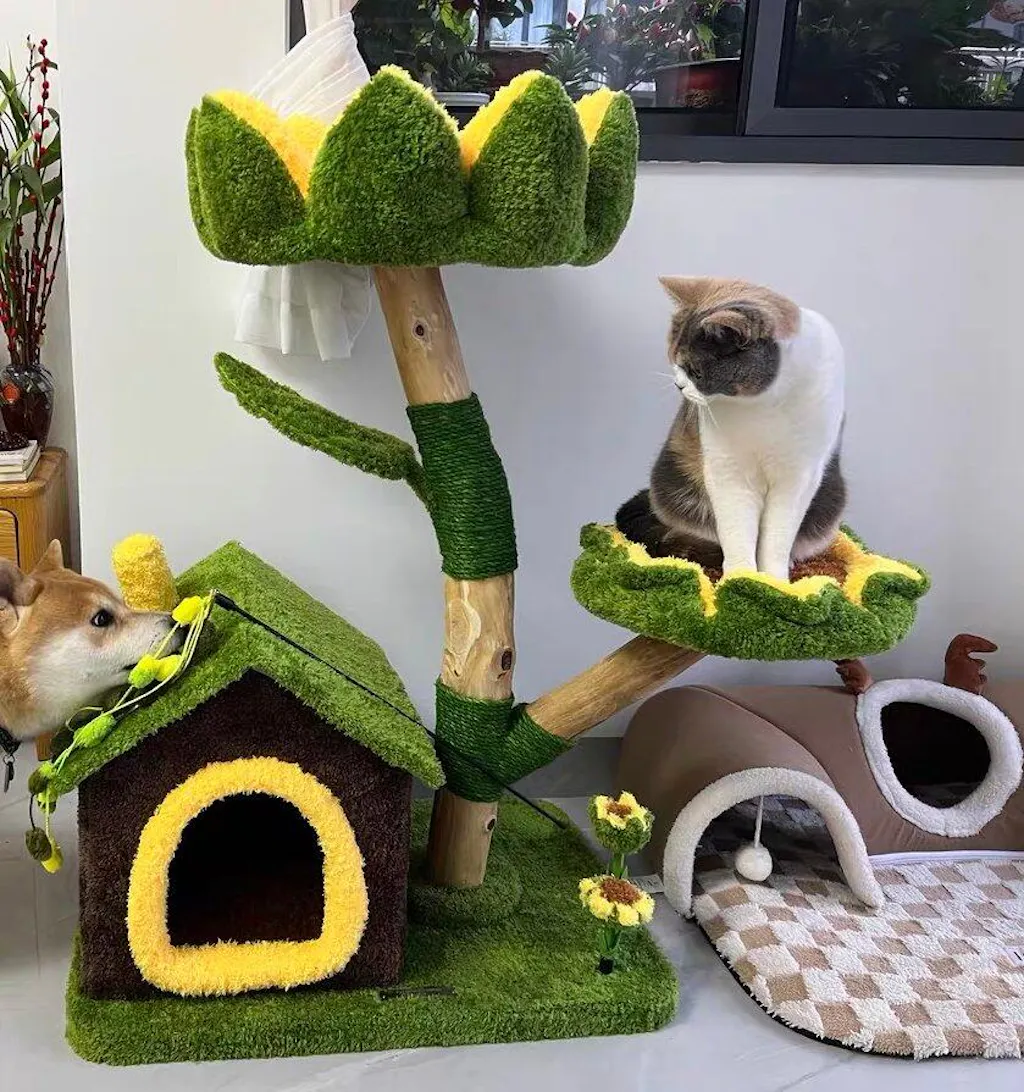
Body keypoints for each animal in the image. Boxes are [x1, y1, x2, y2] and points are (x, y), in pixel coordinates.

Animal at [616, 276, 846, 580]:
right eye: (674, 361)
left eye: (696, 372)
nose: (679, 385)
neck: (764, 406)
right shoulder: (727, 468)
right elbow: (737, 528)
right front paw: (741, 579)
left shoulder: (799, 475)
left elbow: (778, 535)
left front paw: (774, 581)